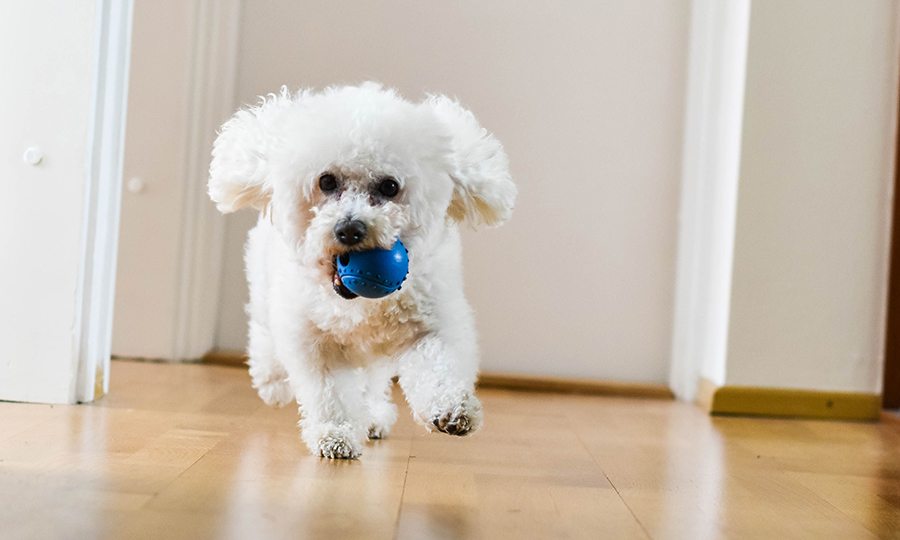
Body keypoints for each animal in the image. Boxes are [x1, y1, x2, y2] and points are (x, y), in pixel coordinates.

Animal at [206, 82, 512, 458]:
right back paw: (272, 380)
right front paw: (334, 433)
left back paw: (373, 417)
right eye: (326, 181)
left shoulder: (430, 325)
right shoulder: (314, 340)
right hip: (265, 290)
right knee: (264, 333)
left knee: (371, 383)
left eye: (390, 186)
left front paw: (451, 409)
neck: (359, 305)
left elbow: (439, 365)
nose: (349, 229)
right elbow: (330, 394)